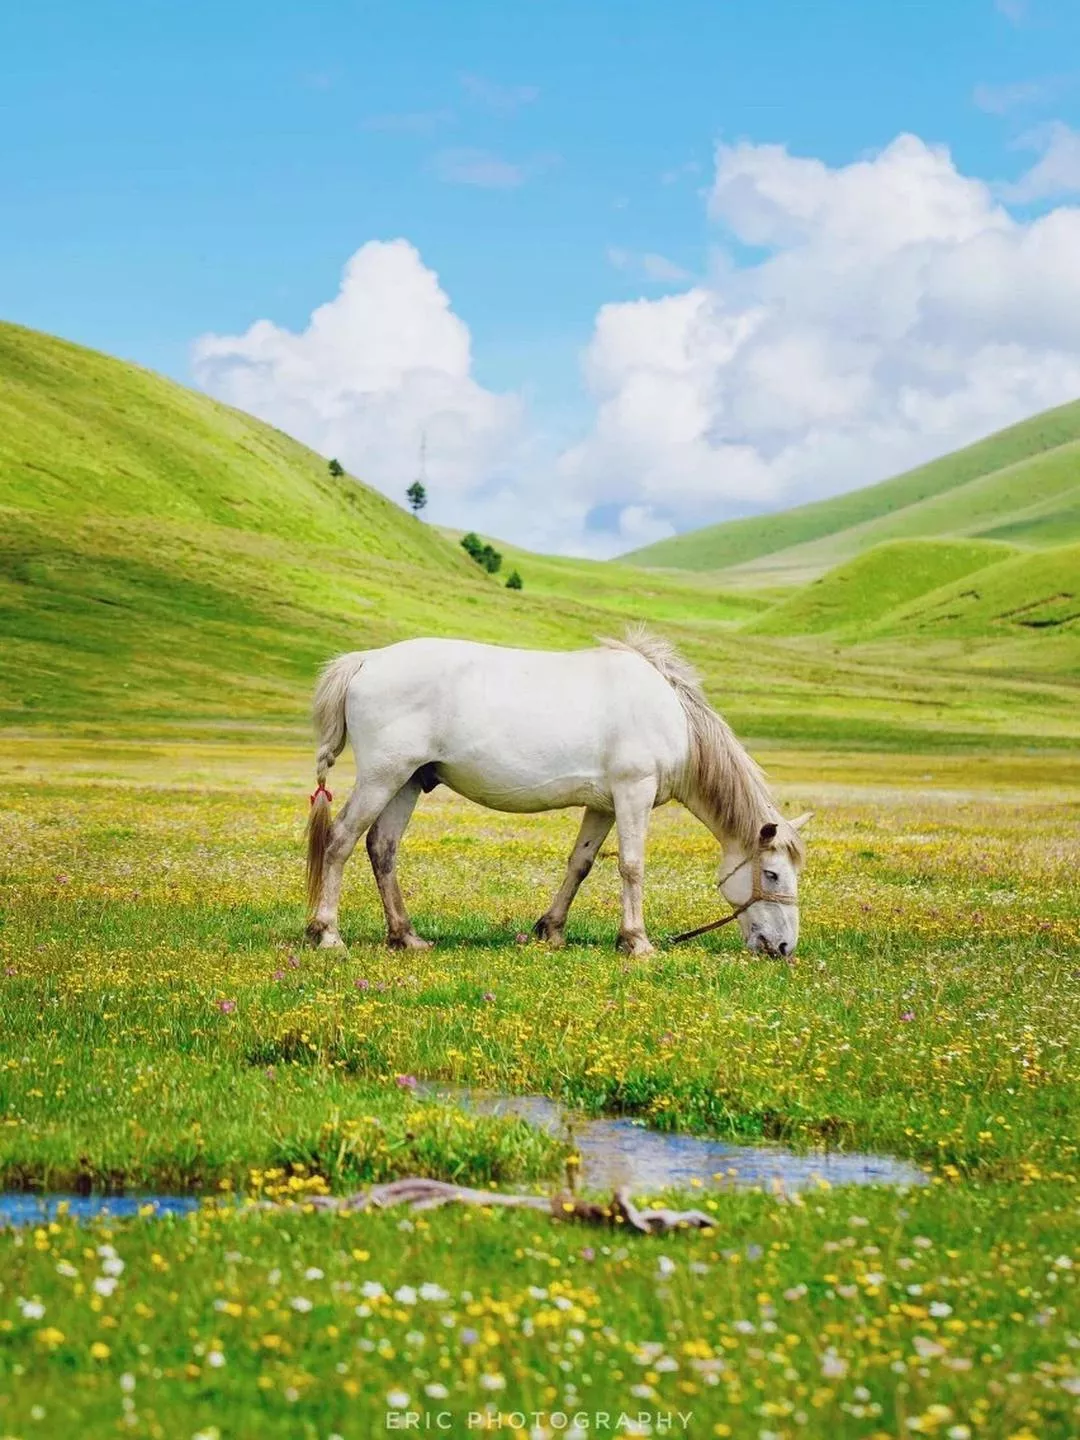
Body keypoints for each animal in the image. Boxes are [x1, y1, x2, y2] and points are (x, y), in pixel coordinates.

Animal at [305, 630, 812, 956]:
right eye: (772, 875)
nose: (784, 947)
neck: (674, 718)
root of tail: (366, 660)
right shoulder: (634, 792)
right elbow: (632, 866)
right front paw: (637, 941)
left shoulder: (603, 806)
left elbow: (580, 864)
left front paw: (552, 930)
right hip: (382, 777)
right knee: (341, 840)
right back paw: (328, 934)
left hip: (407, 781)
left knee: (382, 848)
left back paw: (405, 936)